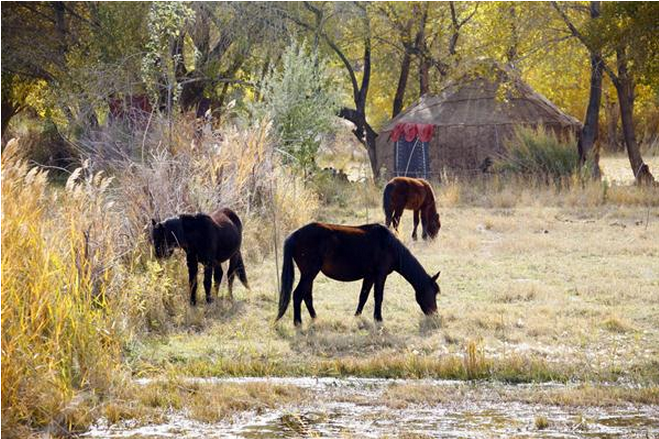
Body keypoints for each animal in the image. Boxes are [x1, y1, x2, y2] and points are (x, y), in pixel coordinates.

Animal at [276, 223, 440, 326]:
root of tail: (293, 236)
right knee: (297, 294)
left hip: (309, 274)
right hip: (309, 273)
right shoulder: (380, 275)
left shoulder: (370, 276)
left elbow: (363, 296)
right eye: (433, 293)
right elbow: (378, 297)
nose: (435, 314)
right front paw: (378, 319)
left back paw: (315, 318)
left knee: (306, 296)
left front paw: (357, 316)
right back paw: (298, 323)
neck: (389, 245)